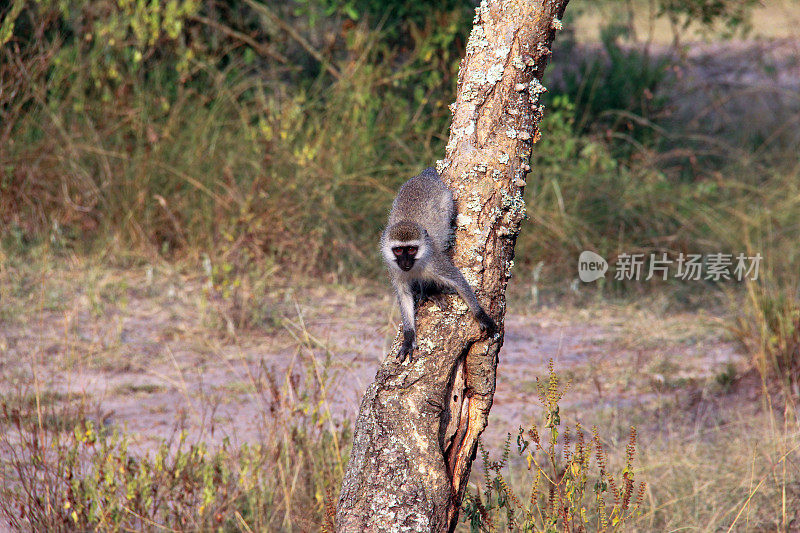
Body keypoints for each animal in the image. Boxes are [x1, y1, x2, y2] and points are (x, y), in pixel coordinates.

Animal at [378, 167, 496, 358]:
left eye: (412, 250)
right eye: (398, 250)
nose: (405, 263)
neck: (415, 266)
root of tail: (424, 175)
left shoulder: (434, 262)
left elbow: (457, 280)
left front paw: (480, 314)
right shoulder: (395, 269)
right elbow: (404, 295)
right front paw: (409, 337)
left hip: (447, 201)